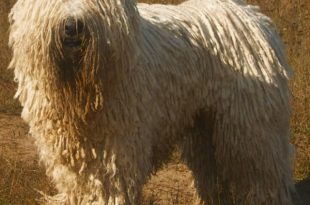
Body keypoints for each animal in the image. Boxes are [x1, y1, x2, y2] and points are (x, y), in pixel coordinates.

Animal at [8, 0, 296, 204]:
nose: (72, 26)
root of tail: (253, 16)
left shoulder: (118, 149)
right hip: (204, 127)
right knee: (210, 173)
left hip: (251, 127)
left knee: (263, 173)